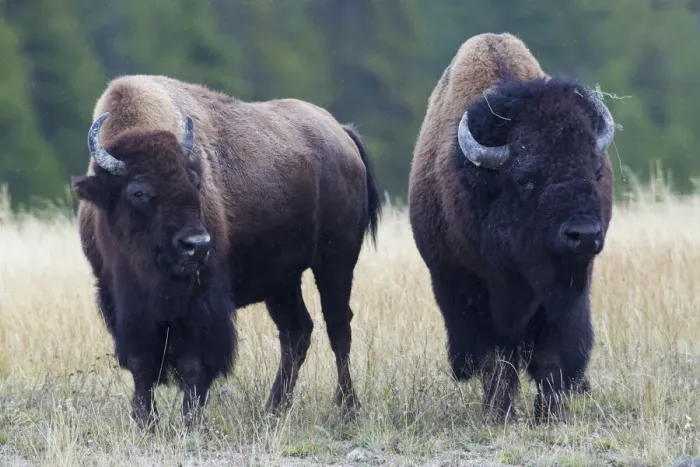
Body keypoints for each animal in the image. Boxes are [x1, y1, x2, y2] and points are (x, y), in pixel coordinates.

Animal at [71, 75, 381, 428]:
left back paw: (347, 406)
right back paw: (274, 408)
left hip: (336, 262)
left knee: (338, 327)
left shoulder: (204, 302)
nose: (196, 245)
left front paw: (190, 422)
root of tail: (341, 134)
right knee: (296, 332)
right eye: (138, 192)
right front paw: (145, 421)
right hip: (283, 282)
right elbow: (141, 364)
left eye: (196, 183)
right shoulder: (119, 301)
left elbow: (195, 363)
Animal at [408, 33, 615, 423]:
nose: (583, 235)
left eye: (596, 170)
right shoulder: (467, 289)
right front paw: (499, 413)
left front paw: (550, 416)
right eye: (524, 178)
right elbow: (496, 360)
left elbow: (553, 357)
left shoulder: (567, 296)